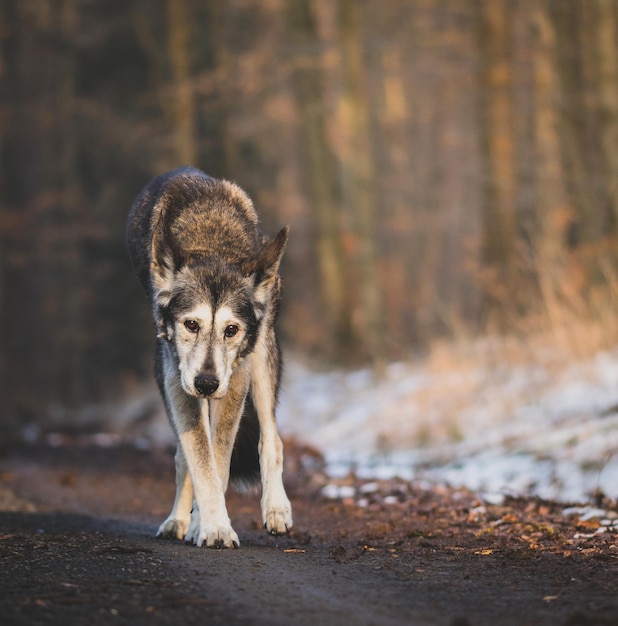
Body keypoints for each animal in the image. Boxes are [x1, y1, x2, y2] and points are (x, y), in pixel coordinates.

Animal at [126, 166, 292, 544]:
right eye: (191, 324)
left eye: (231, 330)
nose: (206, 383)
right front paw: (212, 525)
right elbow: (200, 459)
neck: (213, 242)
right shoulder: (178, 383)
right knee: (182, 457)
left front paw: (210, 523)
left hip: (262, 359)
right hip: (167, 378)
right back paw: (178, 521)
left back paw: (276, 509)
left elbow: (219, 460)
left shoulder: (236, 380)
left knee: (271, 439)